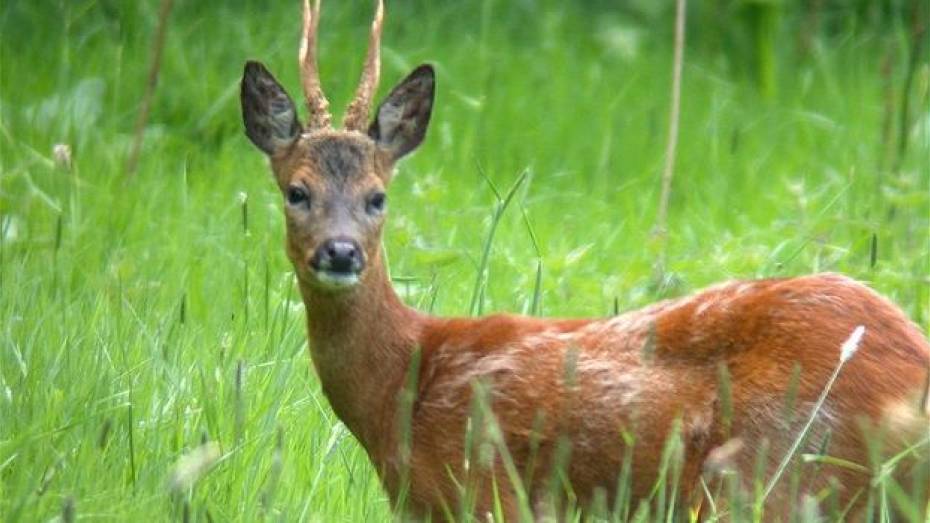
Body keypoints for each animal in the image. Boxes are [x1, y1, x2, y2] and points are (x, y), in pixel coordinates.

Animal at [241, 0, 928, 516]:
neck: (404, 384)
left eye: (376, 196)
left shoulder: (484, 491)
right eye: (297, 191)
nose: (340, 251)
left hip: (776, 476)